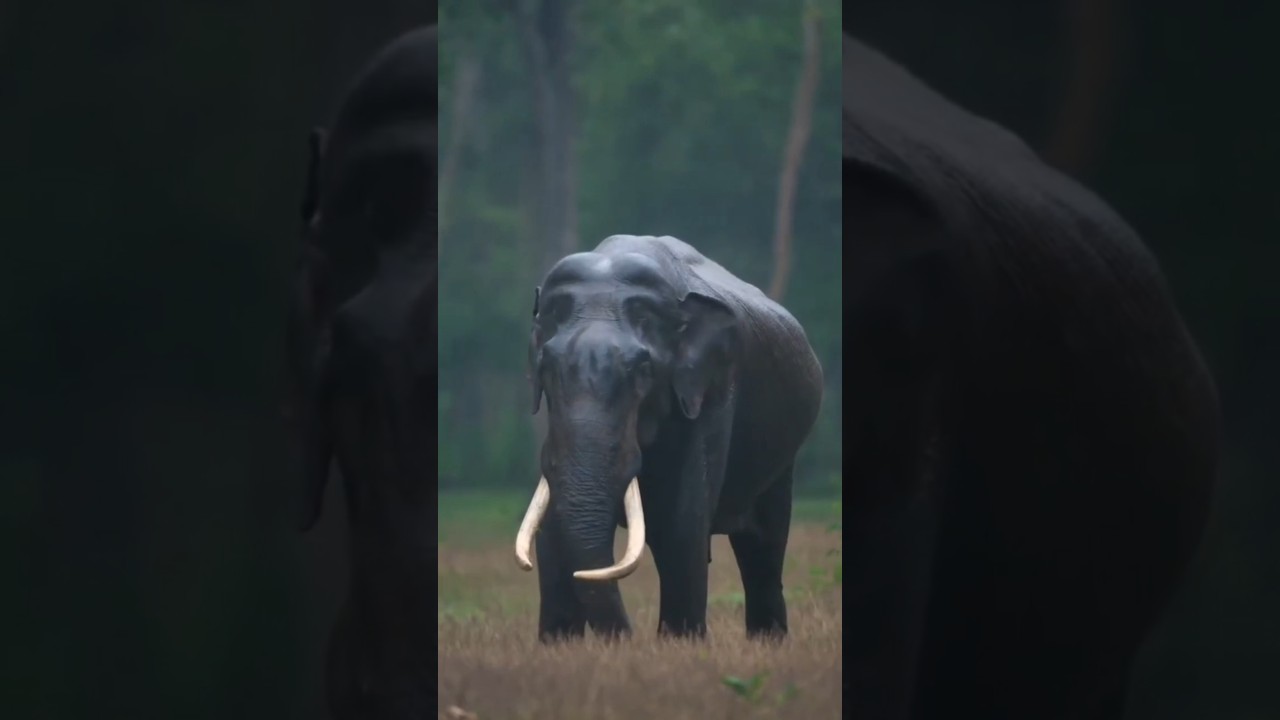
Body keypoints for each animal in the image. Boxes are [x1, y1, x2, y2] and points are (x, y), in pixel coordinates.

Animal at [511, 234, 824, 642]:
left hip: (781, 457)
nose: (628, 639)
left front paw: (681, 643)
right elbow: (550, 529)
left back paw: (768, 642)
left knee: (764, 548)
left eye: (643, 370)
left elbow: (682, 523)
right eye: (546, 368)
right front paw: (559, 645)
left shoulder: (713, 389)